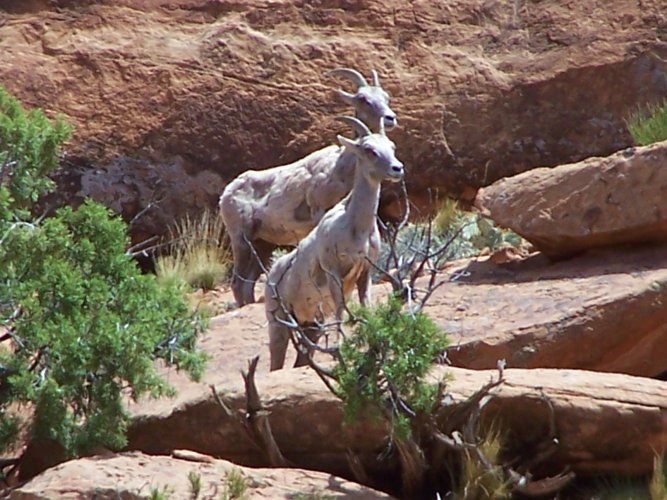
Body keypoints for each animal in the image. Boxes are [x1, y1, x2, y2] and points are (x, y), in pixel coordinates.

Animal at [219, 68, 396, 306]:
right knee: (238, 283)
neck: (341, 168)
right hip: (241, 239)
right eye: (364, 99)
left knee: (247, 285)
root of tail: (226, 193)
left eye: (385, 97)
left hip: (262, 245)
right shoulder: (319, 212)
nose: (390, 118)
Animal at [264, 115, 402, 370]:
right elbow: (340, 312)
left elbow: (366, 308)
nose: (397, 169)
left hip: (310, 326)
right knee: (276, 361)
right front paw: (342, 347)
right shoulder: (334, 273)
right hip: (278, 324)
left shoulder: (365, 273)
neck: (355, 228)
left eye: (392, 147)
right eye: (369, 150)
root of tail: (271, 276)